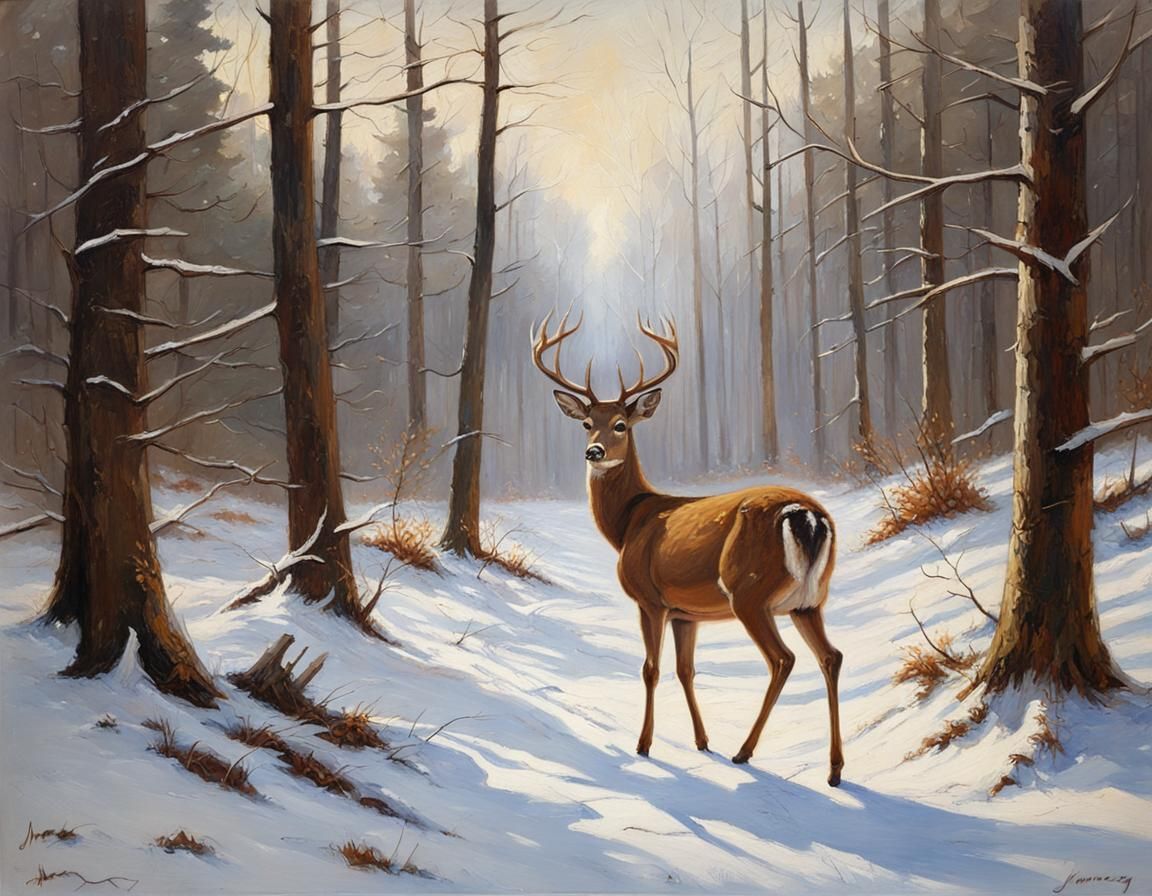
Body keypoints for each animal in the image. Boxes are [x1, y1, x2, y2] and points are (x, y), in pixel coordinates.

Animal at [531, 312, 844, 786]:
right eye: (586, 423)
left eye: (621, 424)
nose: (594, 451)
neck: (629, 522)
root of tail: (804, 513)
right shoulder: (686, 613)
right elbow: (686, 670)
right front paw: (701, 740)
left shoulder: (649, 599)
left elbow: (651, 669)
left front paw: (643, 744)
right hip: (810, 599)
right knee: (831, 656)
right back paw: (834, 769)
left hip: (749, 591)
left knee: (783, 659)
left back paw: (745, 751)